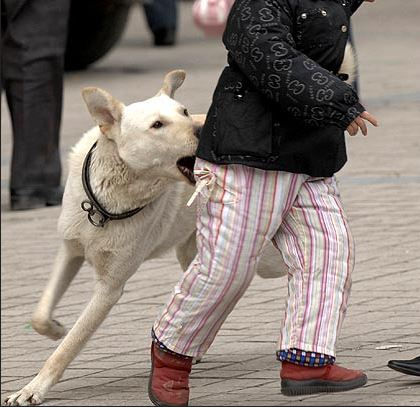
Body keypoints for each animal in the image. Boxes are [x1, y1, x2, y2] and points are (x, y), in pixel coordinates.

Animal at [3, 70, 286, 406]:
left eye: (184, 112)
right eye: (157, 125)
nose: (203, 128)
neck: (107, 204)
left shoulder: (110, 288)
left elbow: (70, 345)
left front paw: (34, 387)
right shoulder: (70, 251)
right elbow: (40, 314)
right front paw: (55, 329)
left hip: (266, 257)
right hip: (194, 250)